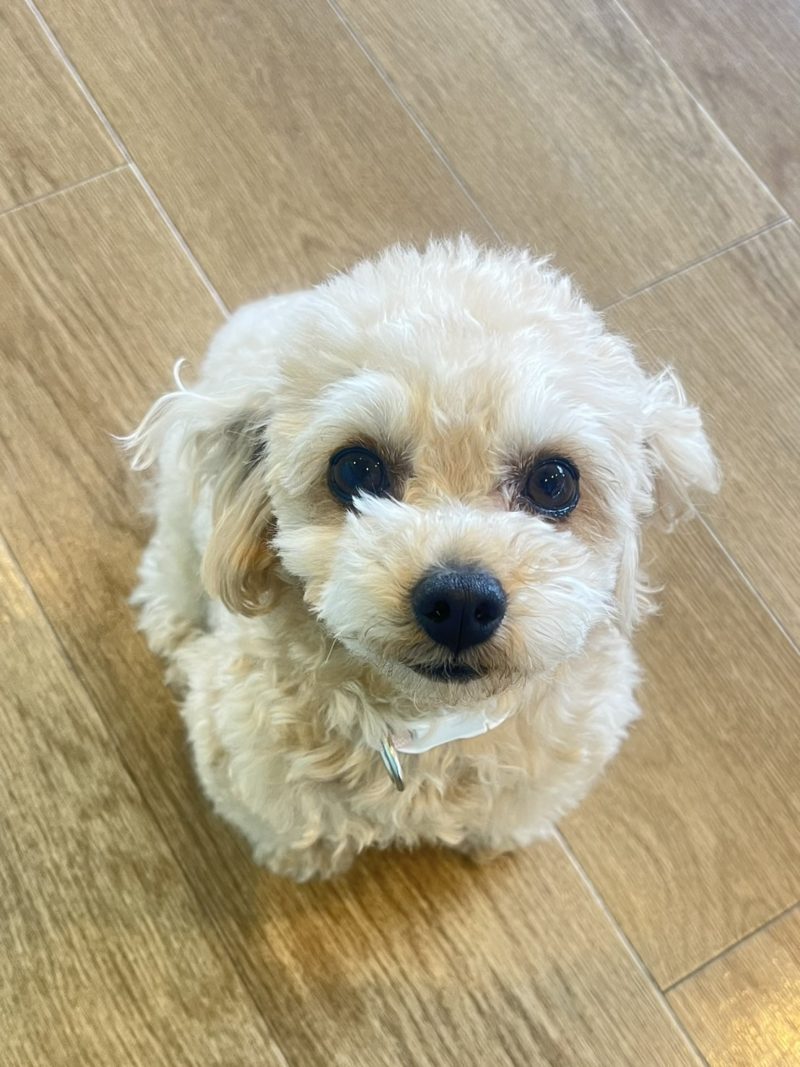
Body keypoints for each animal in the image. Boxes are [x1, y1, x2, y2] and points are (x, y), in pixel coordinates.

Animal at [125, 239, 718, 881]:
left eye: (554, 481)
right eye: (355, 469)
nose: (460, 600)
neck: (431, 724)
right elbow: (291, 826)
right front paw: (309, 858)